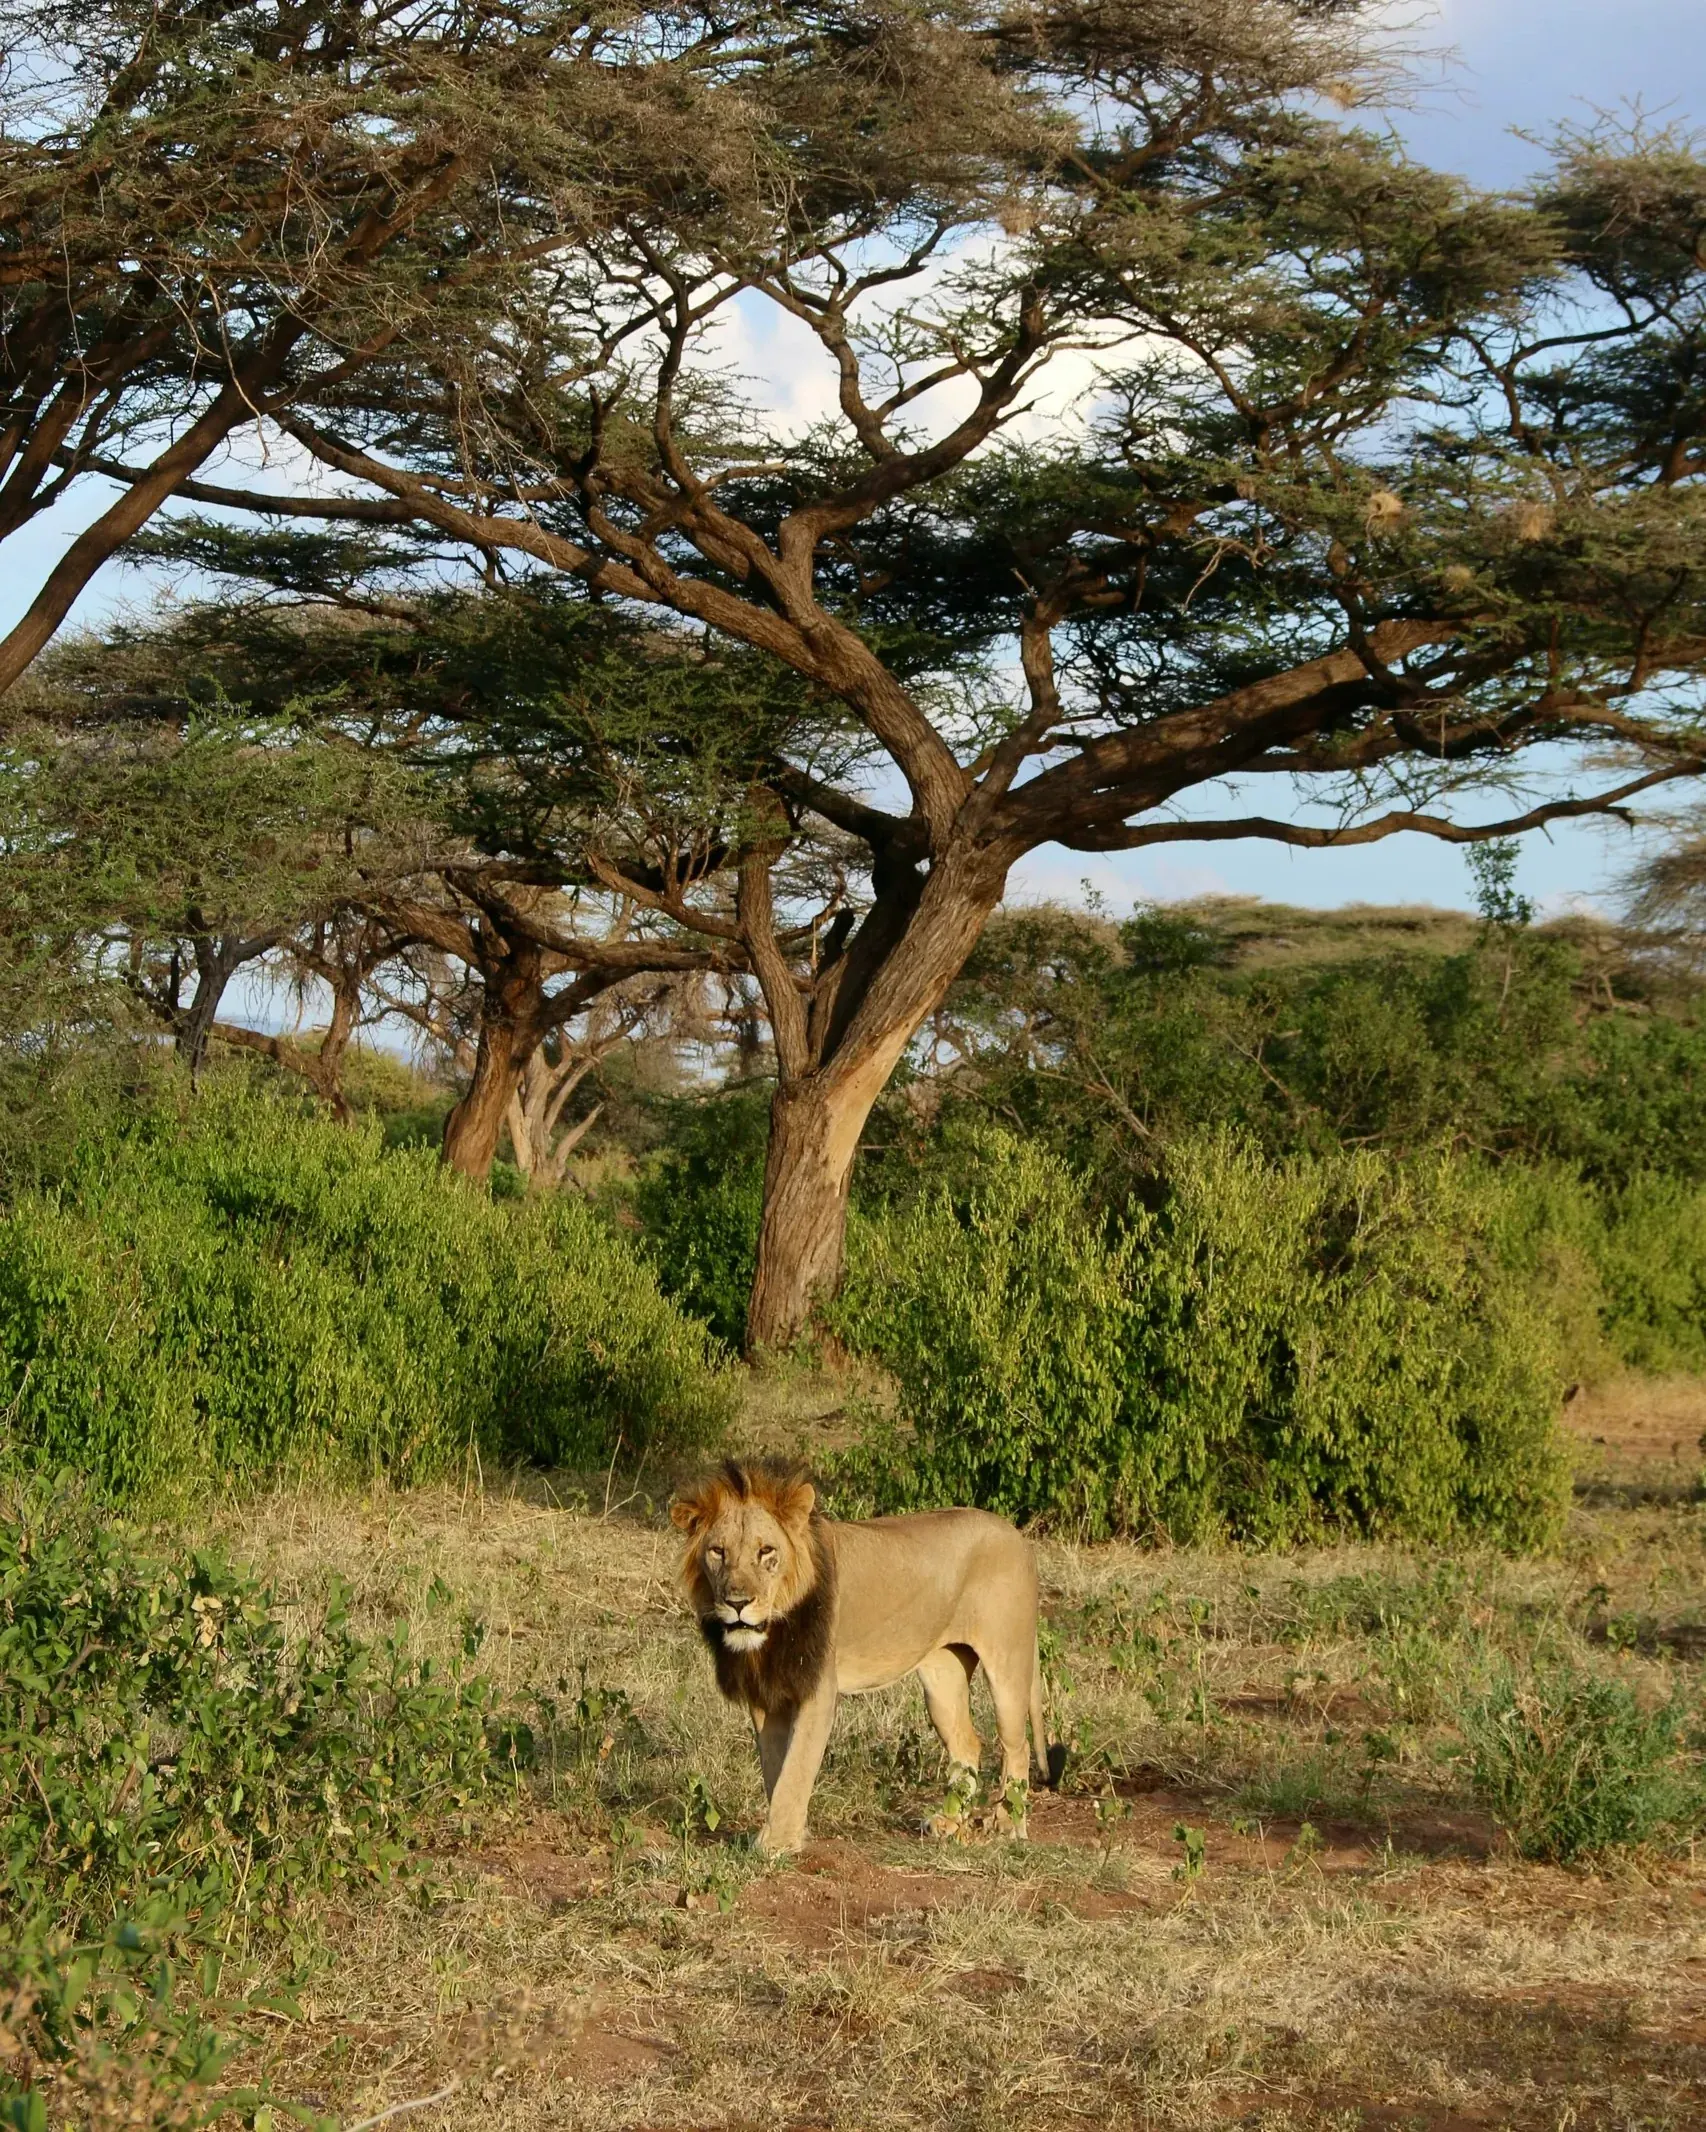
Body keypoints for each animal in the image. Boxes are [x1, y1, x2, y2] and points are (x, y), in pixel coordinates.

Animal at [670, 1459, 1064, 1855]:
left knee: (1017, 1744)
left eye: (766, 1552)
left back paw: (1008, 1825)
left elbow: (796, 1767)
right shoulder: (767, 1695)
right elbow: (775, 1767)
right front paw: (789, 1833)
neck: (773, 1630)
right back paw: (950, 1824)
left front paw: (777, 1843)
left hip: (1008, 1663)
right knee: (967, 1741)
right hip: (943, 1675)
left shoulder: (819, 1691)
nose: (737, 1603)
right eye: (718, 1552)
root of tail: (1018, 1536)